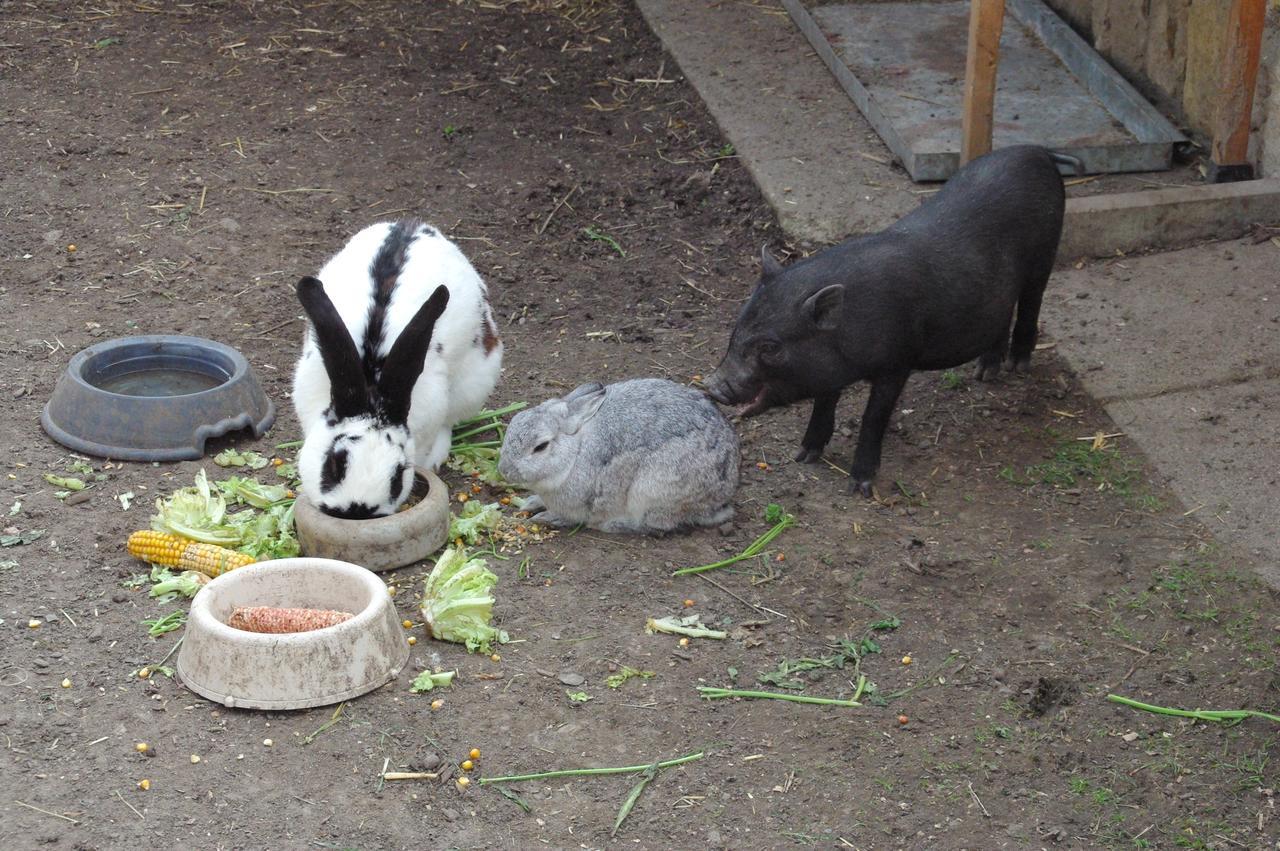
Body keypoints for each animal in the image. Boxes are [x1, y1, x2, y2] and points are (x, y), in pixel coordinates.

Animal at [294, 218, 504, 516]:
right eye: (334, 464)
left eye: (397, 475)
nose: (357, 510)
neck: (371, 383)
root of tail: (413, 224)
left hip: (474, 384)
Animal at [496, 376, 742, 532]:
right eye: (515, 421)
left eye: (541, 446)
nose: (504, 471)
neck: (575, 451)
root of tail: (723, 495)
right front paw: (530, 503)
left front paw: (547, 518)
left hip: (652, 490)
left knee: (654, 524)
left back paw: (610, 525)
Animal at [706, 143, 1064, 493]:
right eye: (736, 329)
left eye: (771, 347)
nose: (712, 384)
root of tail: (1037, 152)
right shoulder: (829, 370)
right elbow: (824, 402)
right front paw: (804, 456)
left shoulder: (898, 360)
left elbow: (874, 416)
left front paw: (859, 485)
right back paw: (985, 374)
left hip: (1045, 255)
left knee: (1031, 303)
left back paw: (1017, 366)